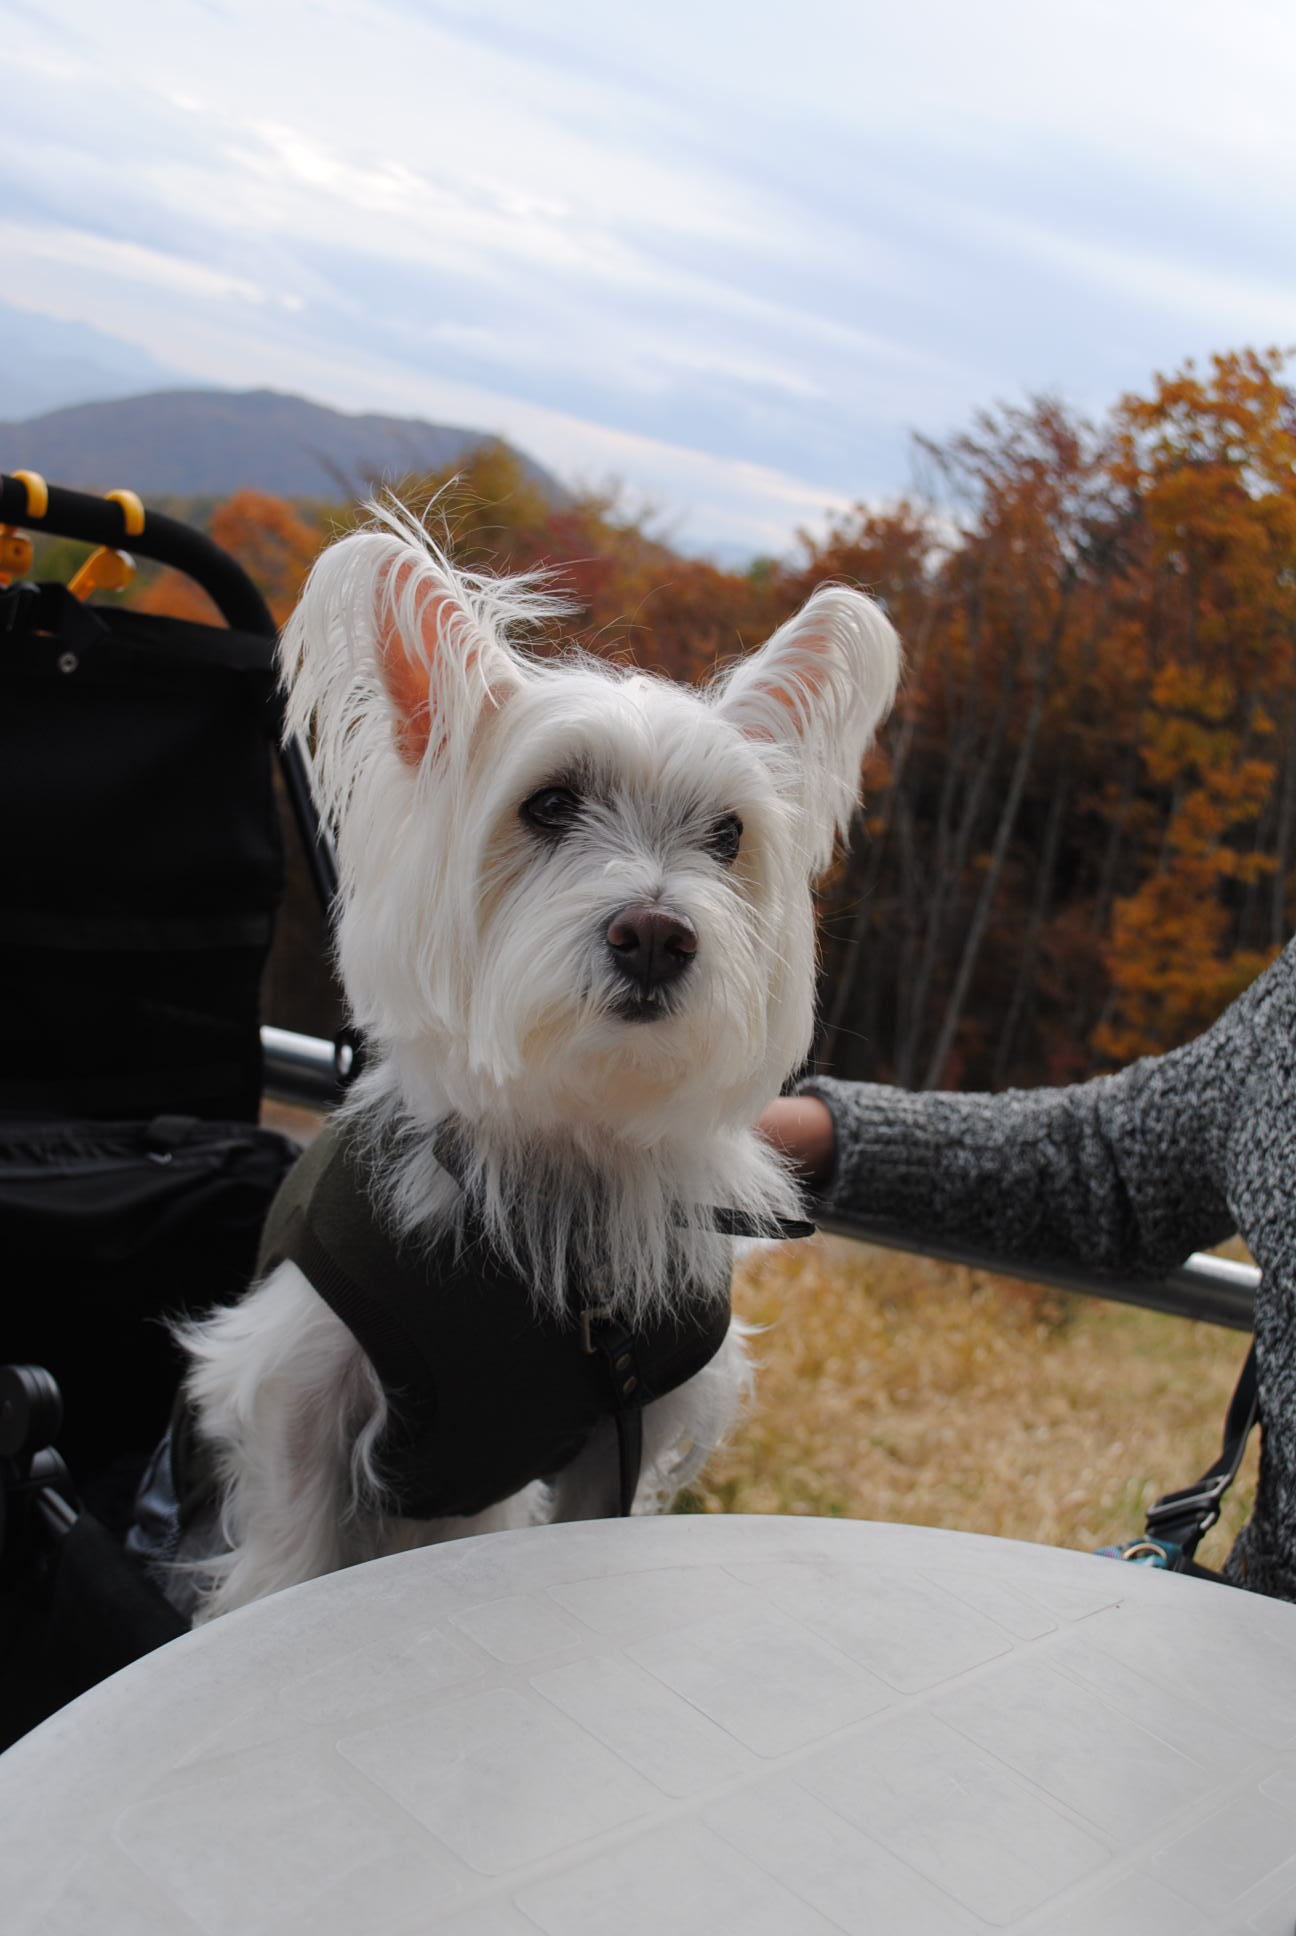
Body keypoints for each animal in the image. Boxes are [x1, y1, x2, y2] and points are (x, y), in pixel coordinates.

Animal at [156, 511, 894, 1618]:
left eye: (728, 835)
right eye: (547, 806)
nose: (656, 936)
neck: (568, 1149)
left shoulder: (634, 1421)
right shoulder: (297, 1389)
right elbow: (288, 1561)